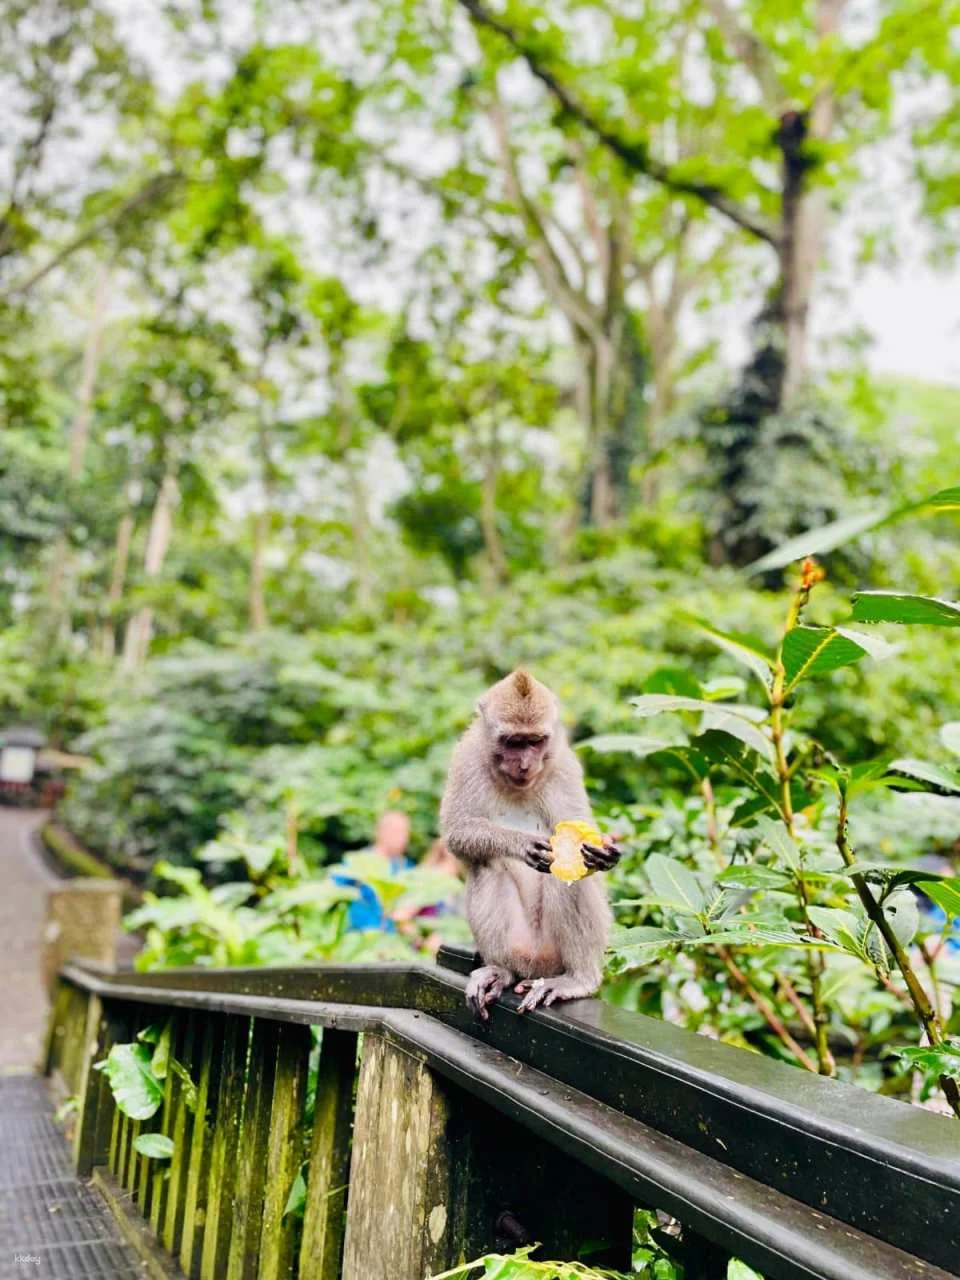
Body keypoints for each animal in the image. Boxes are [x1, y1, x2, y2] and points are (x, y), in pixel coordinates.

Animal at [440, 668, 621, 1018]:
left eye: (535, 741)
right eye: (514, 742)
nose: (525, 764)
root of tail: (535, 967)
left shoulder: (564, 766)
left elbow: (580, 827)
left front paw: (604, 851)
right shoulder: (466, 758)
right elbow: (457, 832)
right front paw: (520, 843)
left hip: (553, 956)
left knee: (571, 875)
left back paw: (579, 979)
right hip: (521, 947)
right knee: (488, 866)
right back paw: (501, 970)